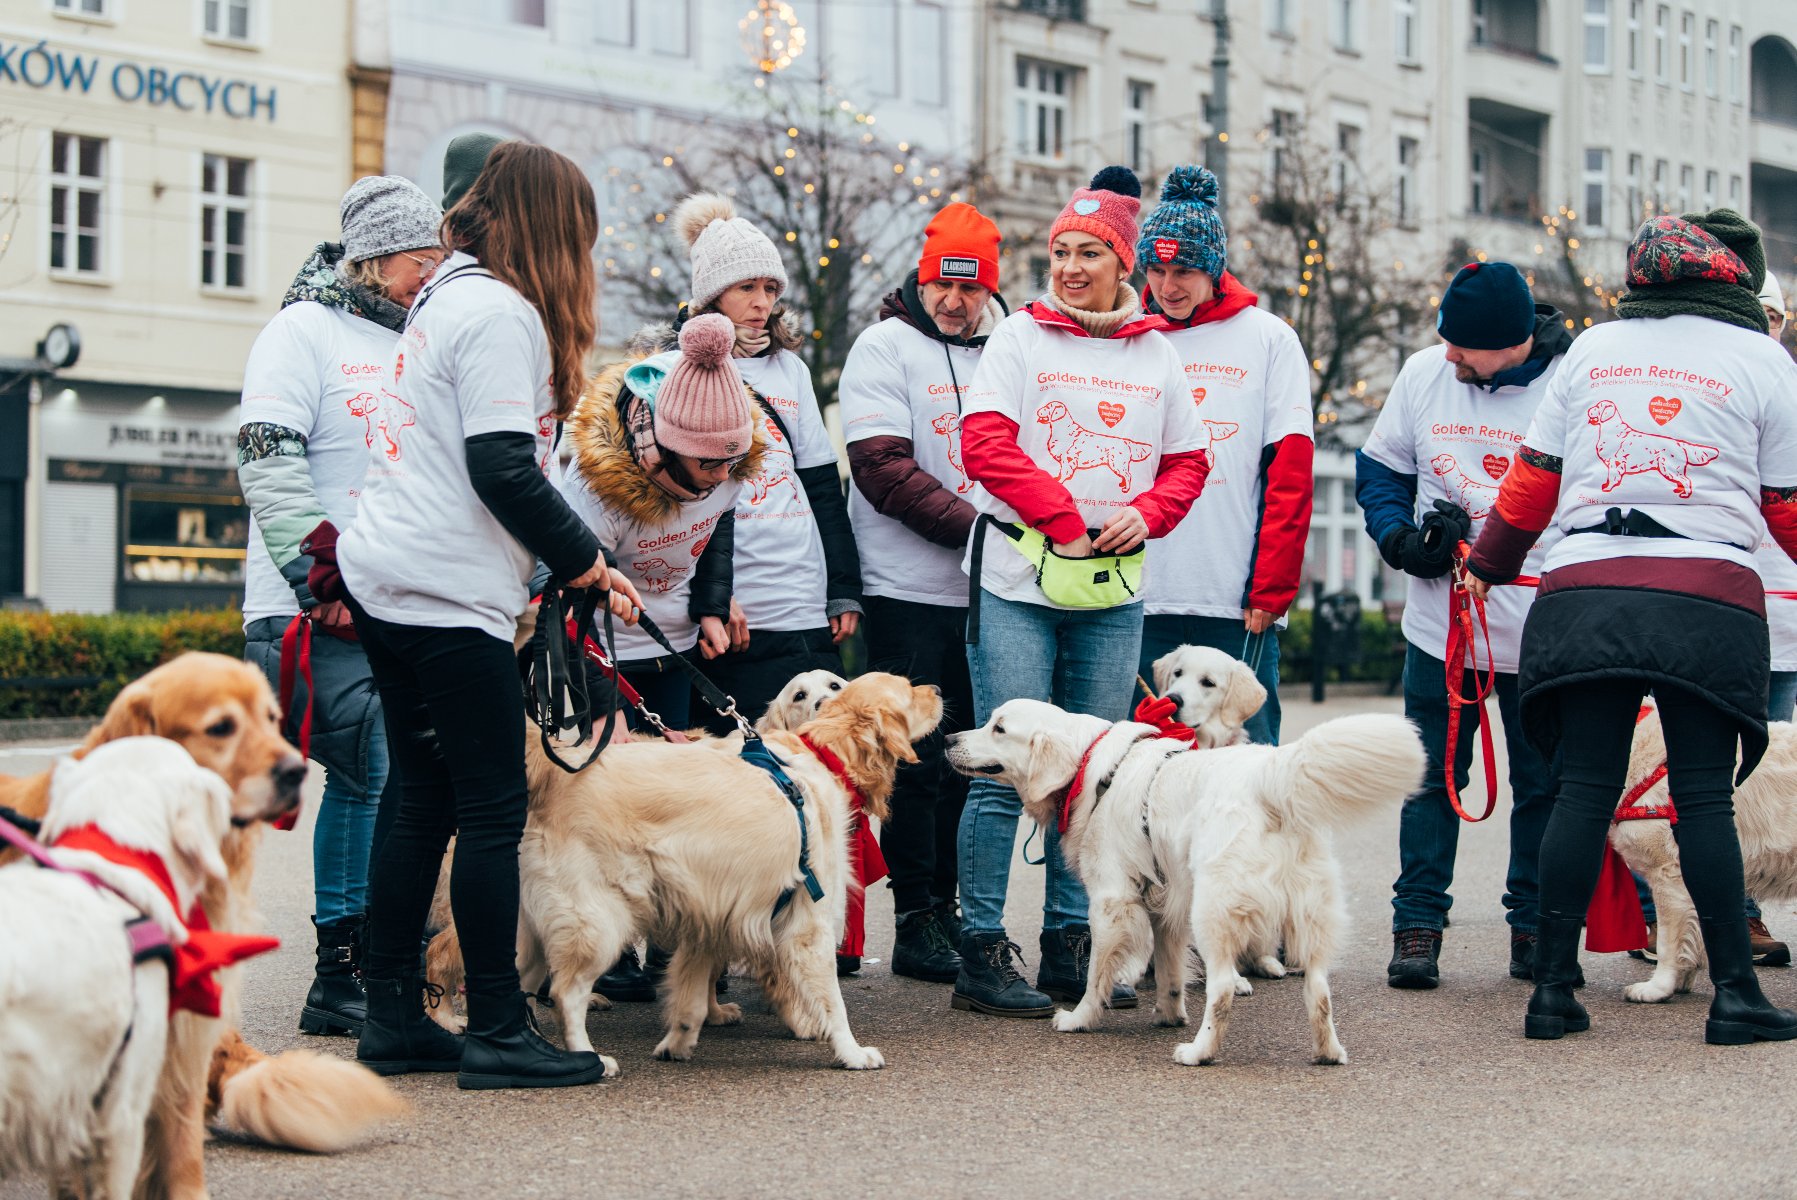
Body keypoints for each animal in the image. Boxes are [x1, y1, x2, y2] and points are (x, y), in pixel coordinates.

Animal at [521, 671, 941, 1070]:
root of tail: (554, 773)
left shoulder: (711, 906)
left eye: (835, 686)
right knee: (565, 993)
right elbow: (832, 1002)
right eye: (908, 690)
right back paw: (588, 1057)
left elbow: (693, 990)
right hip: (598, 919)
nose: (937, 689)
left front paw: (679, 1040)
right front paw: (849, 1051)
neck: (824, 752)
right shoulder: (808, 922)